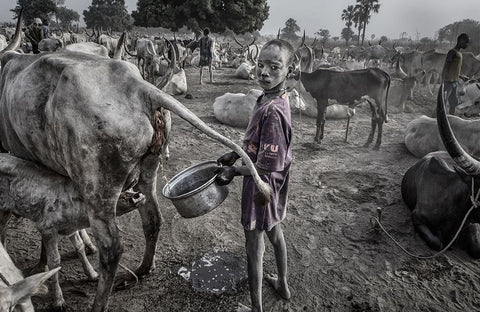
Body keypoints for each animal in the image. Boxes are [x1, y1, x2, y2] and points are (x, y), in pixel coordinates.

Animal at [0, 153, 146, 310]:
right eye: (115, 194)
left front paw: (93, 275)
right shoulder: (47, 229)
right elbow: (55, 261)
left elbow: (80, 246)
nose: (138, 195)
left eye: (129, 188)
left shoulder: (71, 228)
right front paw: (59, 301)